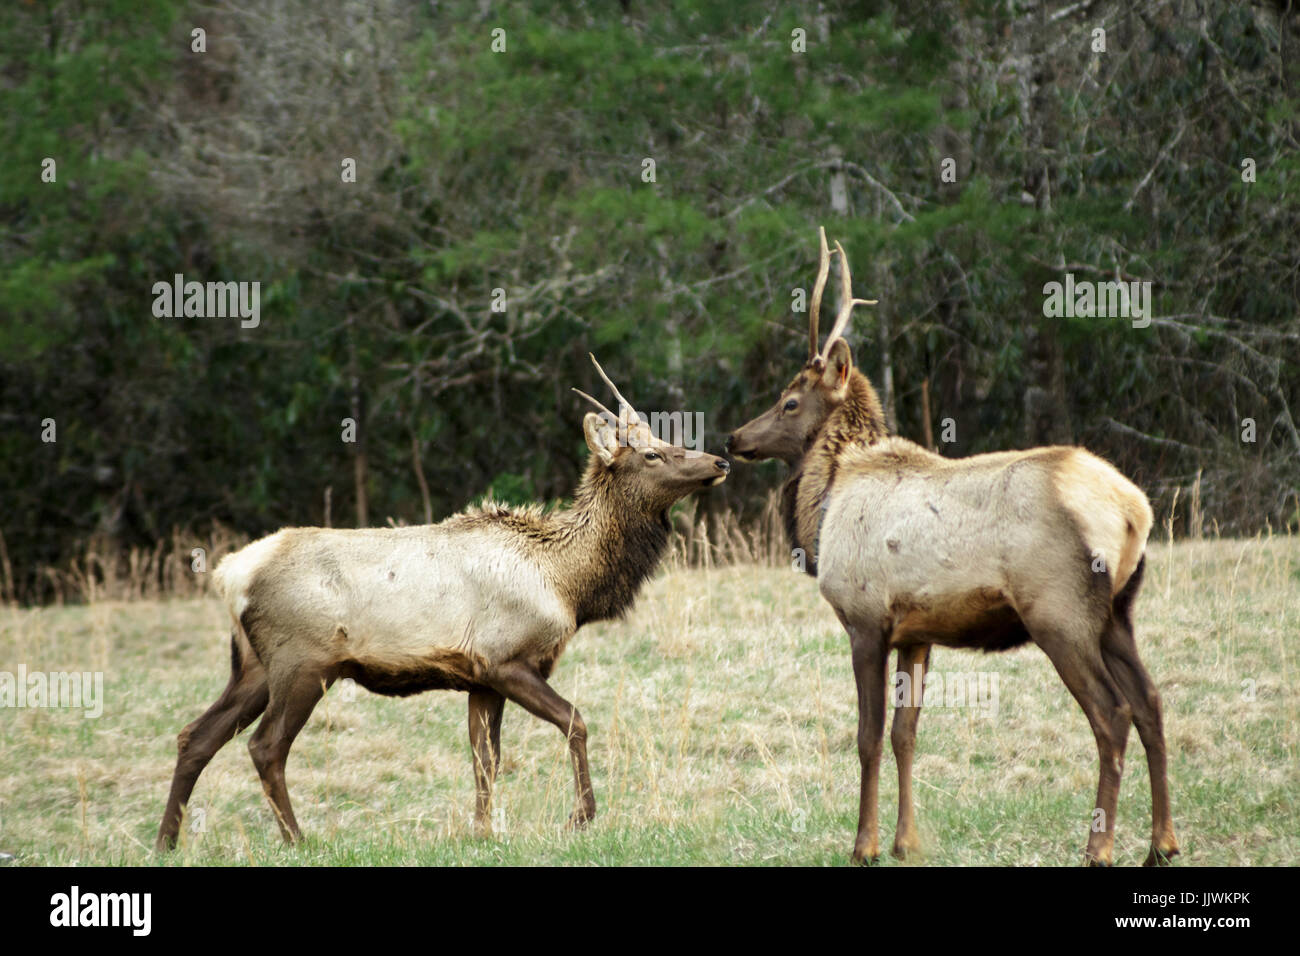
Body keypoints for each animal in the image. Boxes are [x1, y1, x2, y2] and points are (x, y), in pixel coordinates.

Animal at [156, 356, 728, 848]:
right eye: (653, 453)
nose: (720, 459)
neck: (566, 584)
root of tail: (231, 575)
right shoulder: (506, 659)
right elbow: (574, 721)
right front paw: (580, 817)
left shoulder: (480, 678)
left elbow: (484, 758)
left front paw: (482, 831)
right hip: (303, 661)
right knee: (265, 746)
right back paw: (298, 839)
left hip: (253, 666)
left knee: (194, 737)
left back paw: (166, 841)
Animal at [728, 230, 1185, 868]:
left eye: (790, 402)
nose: (735, 438)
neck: (829, 501)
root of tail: (1133, 511)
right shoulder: (915, 633)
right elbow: (905, 735)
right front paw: (906, 840)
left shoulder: (865, 618)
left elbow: (868, 737)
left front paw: (864, 845)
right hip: (1119, 611)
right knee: (1151, 702)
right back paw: (1163, 843)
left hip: (1059, 611)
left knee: (1112, 712)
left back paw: (1099, 847)